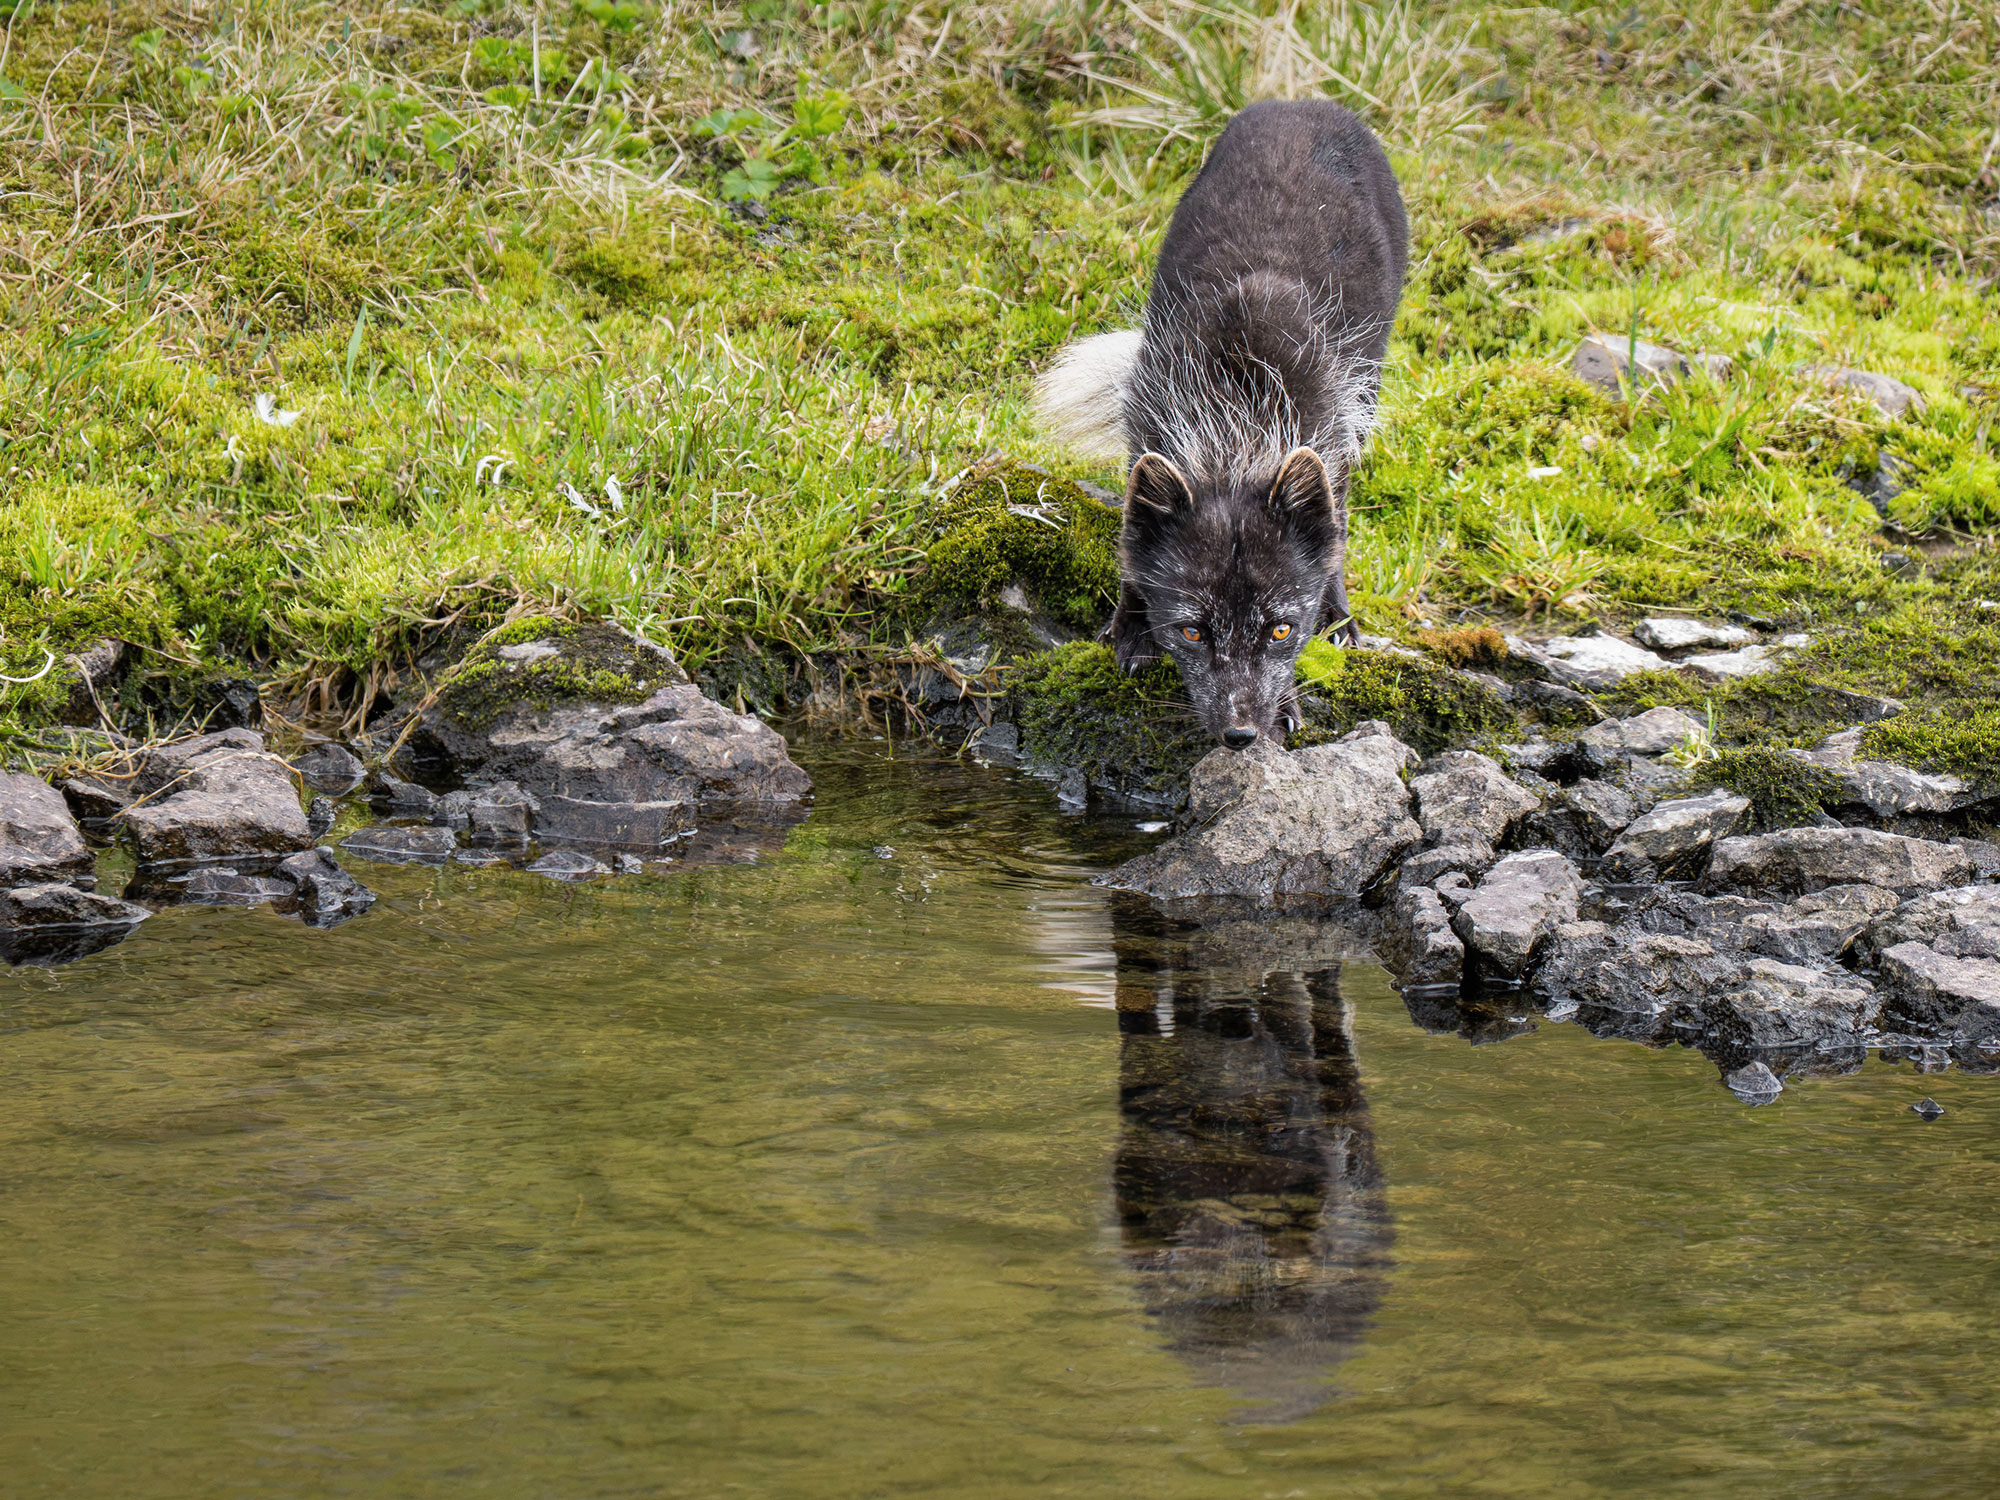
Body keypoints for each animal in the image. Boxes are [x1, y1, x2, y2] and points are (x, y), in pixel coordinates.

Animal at [1034, 100, 1408, 749]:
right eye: (1192, 631)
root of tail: (1304, 102)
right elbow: (1133, 544)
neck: (1238, 432)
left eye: (1282, 631)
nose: (1240, 735)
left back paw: (1342, 617)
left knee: (1339, 512)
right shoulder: (1148, 424)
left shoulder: (1328, 427)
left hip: (1363, 390)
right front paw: (1129, 628)